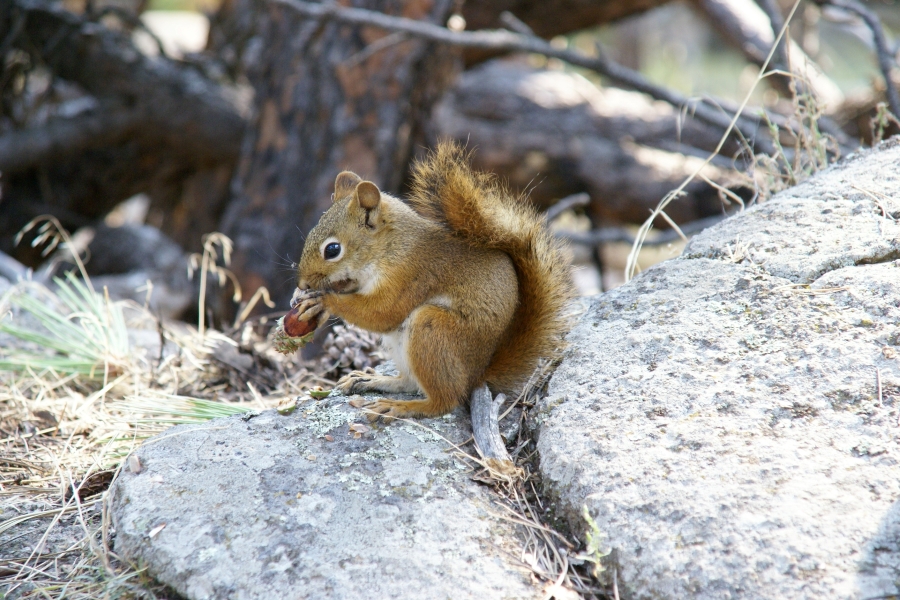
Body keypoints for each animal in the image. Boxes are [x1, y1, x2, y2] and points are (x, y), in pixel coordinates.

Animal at [293, 142, 573, 420]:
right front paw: (305, 299)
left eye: (332, 250)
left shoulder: (410, 276)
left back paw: (401, 407)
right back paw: (372, 380)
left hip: (432, 329)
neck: (391, 246)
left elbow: (382, 313)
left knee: (445, 400)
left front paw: (324, 301)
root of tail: (476, 376)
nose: (303, 284)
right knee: (409, 383)